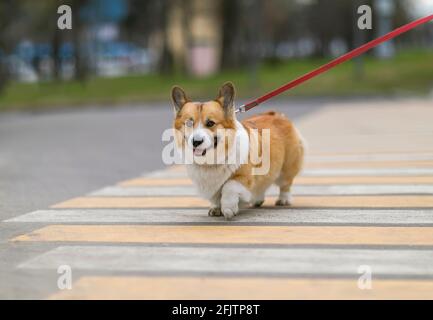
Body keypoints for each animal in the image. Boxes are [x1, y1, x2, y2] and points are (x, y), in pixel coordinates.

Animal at [172, 82, 304, 220]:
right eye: (189, 123)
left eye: (210, 123)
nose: (196, 141)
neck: (212, 160)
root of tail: (277, 114)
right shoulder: (212, 186)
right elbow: (216, 196)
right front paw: (216, 208)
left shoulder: (244, 178)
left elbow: (229, 186)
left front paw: (228, 208)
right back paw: (257, 200)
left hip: (286, 168)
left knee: (285, 184)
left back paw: (283, 199)